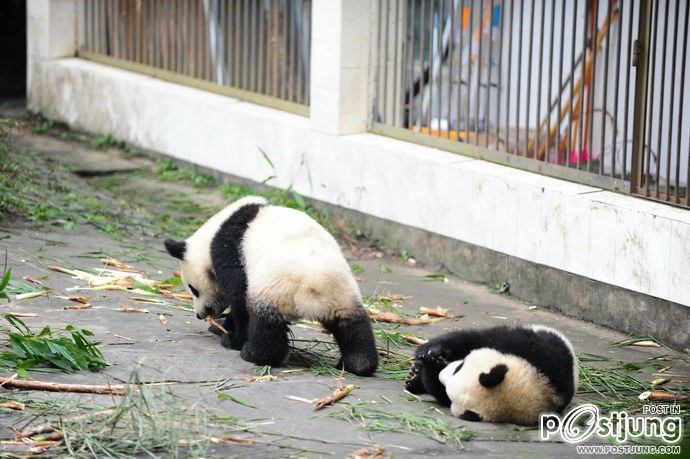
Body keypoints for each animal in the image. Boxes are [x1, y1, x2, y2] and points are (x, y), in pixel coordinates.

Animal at [164, 195, 378, 376]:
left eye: (193, 289)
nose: (200, 315)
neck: (214, 231)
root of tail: (313, 287)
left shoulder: (229, 251)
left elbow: (237, 295)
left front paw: (229, 334)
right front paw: (221, 325)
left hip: (274, 290)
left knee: (264, 324)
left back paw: (253, 354)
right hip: (343, 295)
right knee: (355, 327)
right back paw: (359, 364)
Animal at [404, 324, 577, 425]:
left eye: (458, 369)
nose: (443, 373)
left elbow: (439, 391)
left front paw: (432, 367)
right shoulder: (532, 352)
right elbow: (472, 339)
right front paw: (429, 353)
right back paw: (414, 375)